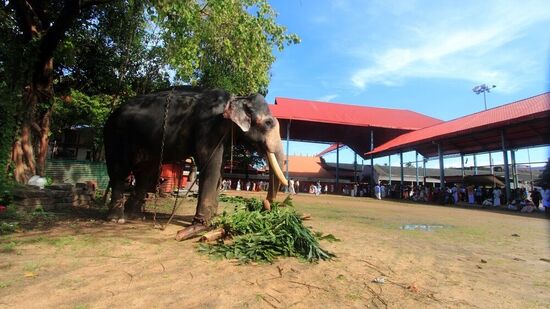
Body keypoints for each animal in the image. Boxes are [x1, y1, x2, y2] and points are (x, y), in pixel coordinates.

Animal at [103, 88, 288, 239]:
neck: (235, 98)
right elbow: (211, 164)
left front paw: (213, 220)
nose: (265, 206)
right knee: (119, 172)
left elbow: (219, 169)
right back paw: (116, 219)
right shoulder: (208, 127)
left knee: (145, 175)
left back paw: (135, 216)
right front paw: (199, 226)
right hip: (115, 136)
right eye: (268, 123)